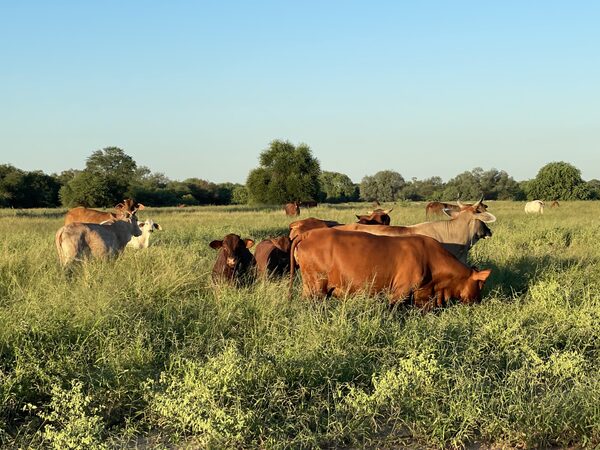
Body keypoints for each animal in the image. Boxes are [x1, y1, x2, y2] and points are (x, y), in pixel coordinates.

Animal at [290, 229, 492, 310]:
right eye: (480, 284)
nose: (479, 302)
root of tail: (309, 234)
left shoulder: (422, 295)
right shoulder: (400, 291)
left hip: (309, 287)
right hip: (317, 288)